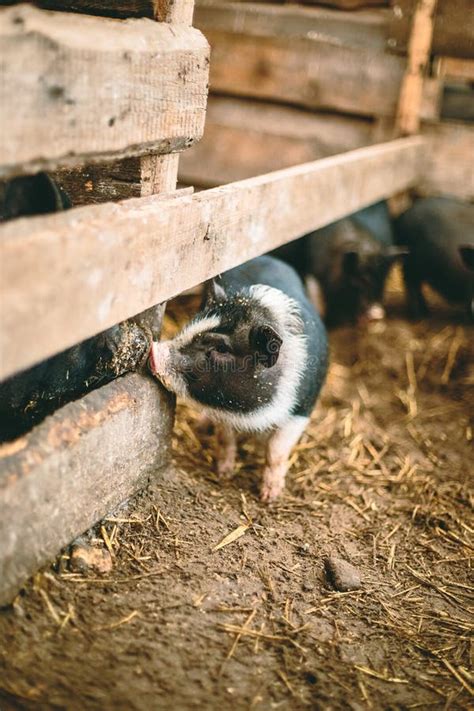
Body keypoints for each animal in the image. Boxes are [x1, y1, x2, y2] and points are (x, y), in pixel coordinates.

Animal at [150, 254, 328, 500]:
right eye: (190, 326)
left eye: (222, 349)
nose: (153, 349)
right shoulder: (223, 412)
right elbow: (225, 438)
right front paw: (223, 473)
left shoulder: (302, 409)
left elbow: (276, 452)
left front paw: (269, 497)